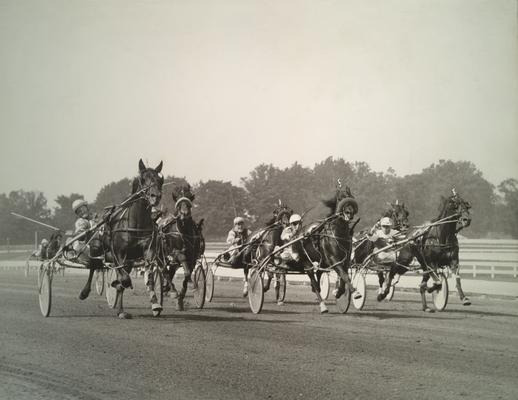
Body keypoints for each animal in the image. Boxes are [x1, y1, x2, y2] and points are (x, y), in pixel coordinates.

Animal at [78, 159, 165, 318]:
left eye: (160, 180)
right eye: (143, 179)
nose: (155, 196)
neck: (136, 222)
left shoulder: (148, 251)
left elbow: (147, 278)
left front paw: (156, 304)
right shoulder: (118, 252)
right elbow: (124, 279)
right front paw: (116, 283)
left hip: (128, 260)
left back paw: (121, 310)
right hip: (96, 248)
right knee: (93, 266)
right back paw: (85, 292)